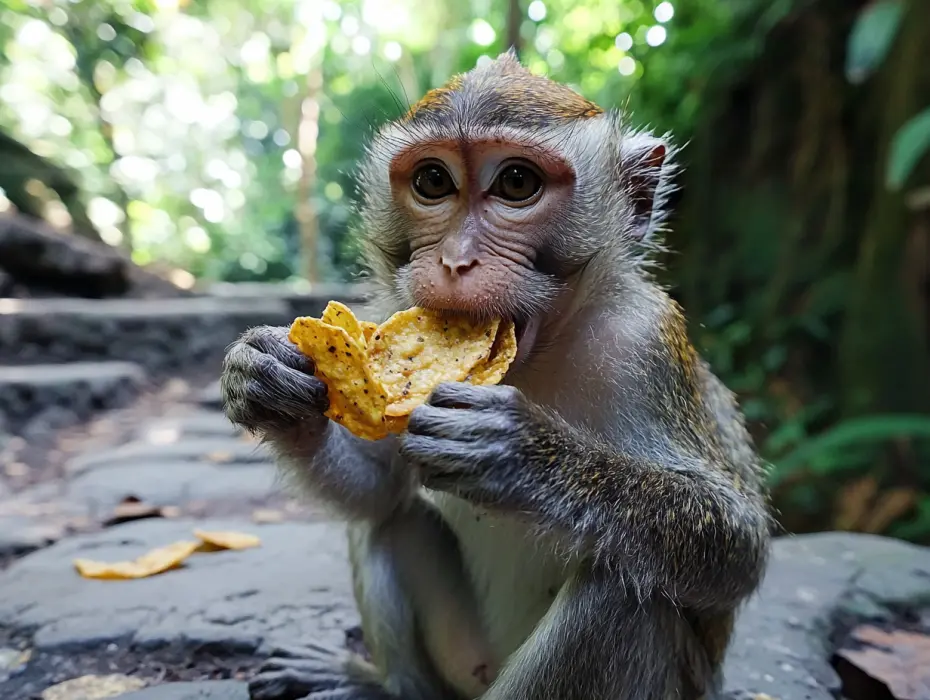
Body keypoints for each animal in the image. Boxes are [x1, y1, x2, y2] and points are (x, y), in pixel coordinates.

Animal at [221, 50, 772, 700]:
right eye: (434, 182)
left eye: (515, 184)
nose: (455, 261)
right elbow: (378, 489)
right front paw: (264, 378)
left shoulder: (647, 342)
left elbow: (737, 546)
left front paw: (522, 453)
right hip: (461, 656)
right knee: (391, 520)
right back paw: (389, 688)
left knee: (622, 591)